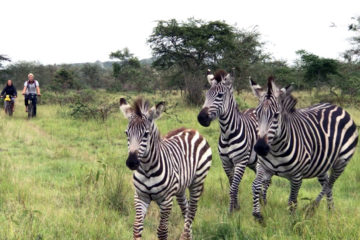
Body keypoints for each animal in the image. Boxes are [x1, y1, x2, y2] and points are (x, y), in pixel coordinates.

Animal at [119, 96, 212, 239]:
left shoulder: (166, 200)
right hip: (180, 188)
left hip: (197, 181)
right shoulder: (140, 197)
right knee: (186, 210)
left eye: (146, 134)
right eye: (126, 133)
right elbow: (137, 227)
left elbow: (162, 231)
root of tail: (191, 130)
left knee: (192, 211)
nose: (131, 162)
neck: (147, 170)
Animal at [197, 69, 270, 212]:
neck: (227, 134)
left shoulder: (240, 162)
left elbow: (233, 188)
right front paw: (236, 207)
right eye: (206, 95)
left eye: (220, 95)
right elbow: (233, 186)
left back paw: (264, 203)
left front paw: (231, 211)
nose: (201, 118)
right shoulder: (226, 163)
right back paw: (259, 201)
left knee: (266, 181)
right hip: (254, 162)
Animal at [250, 78, 358, 222]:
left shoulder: (297, 176)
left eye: (276, 115)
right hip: (321, 164)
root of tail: (337, 107)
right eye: (256, 113)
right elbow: (255, 186)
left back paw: (311, 208)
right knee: (327, 184)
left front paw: (292, 221)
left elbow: (292, 200)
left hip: (342, 161)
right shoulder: (263, 167)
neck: (275, 149)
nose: (260, 148)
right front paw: (257, 214)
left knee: (329, 184)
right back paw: (330, 210)